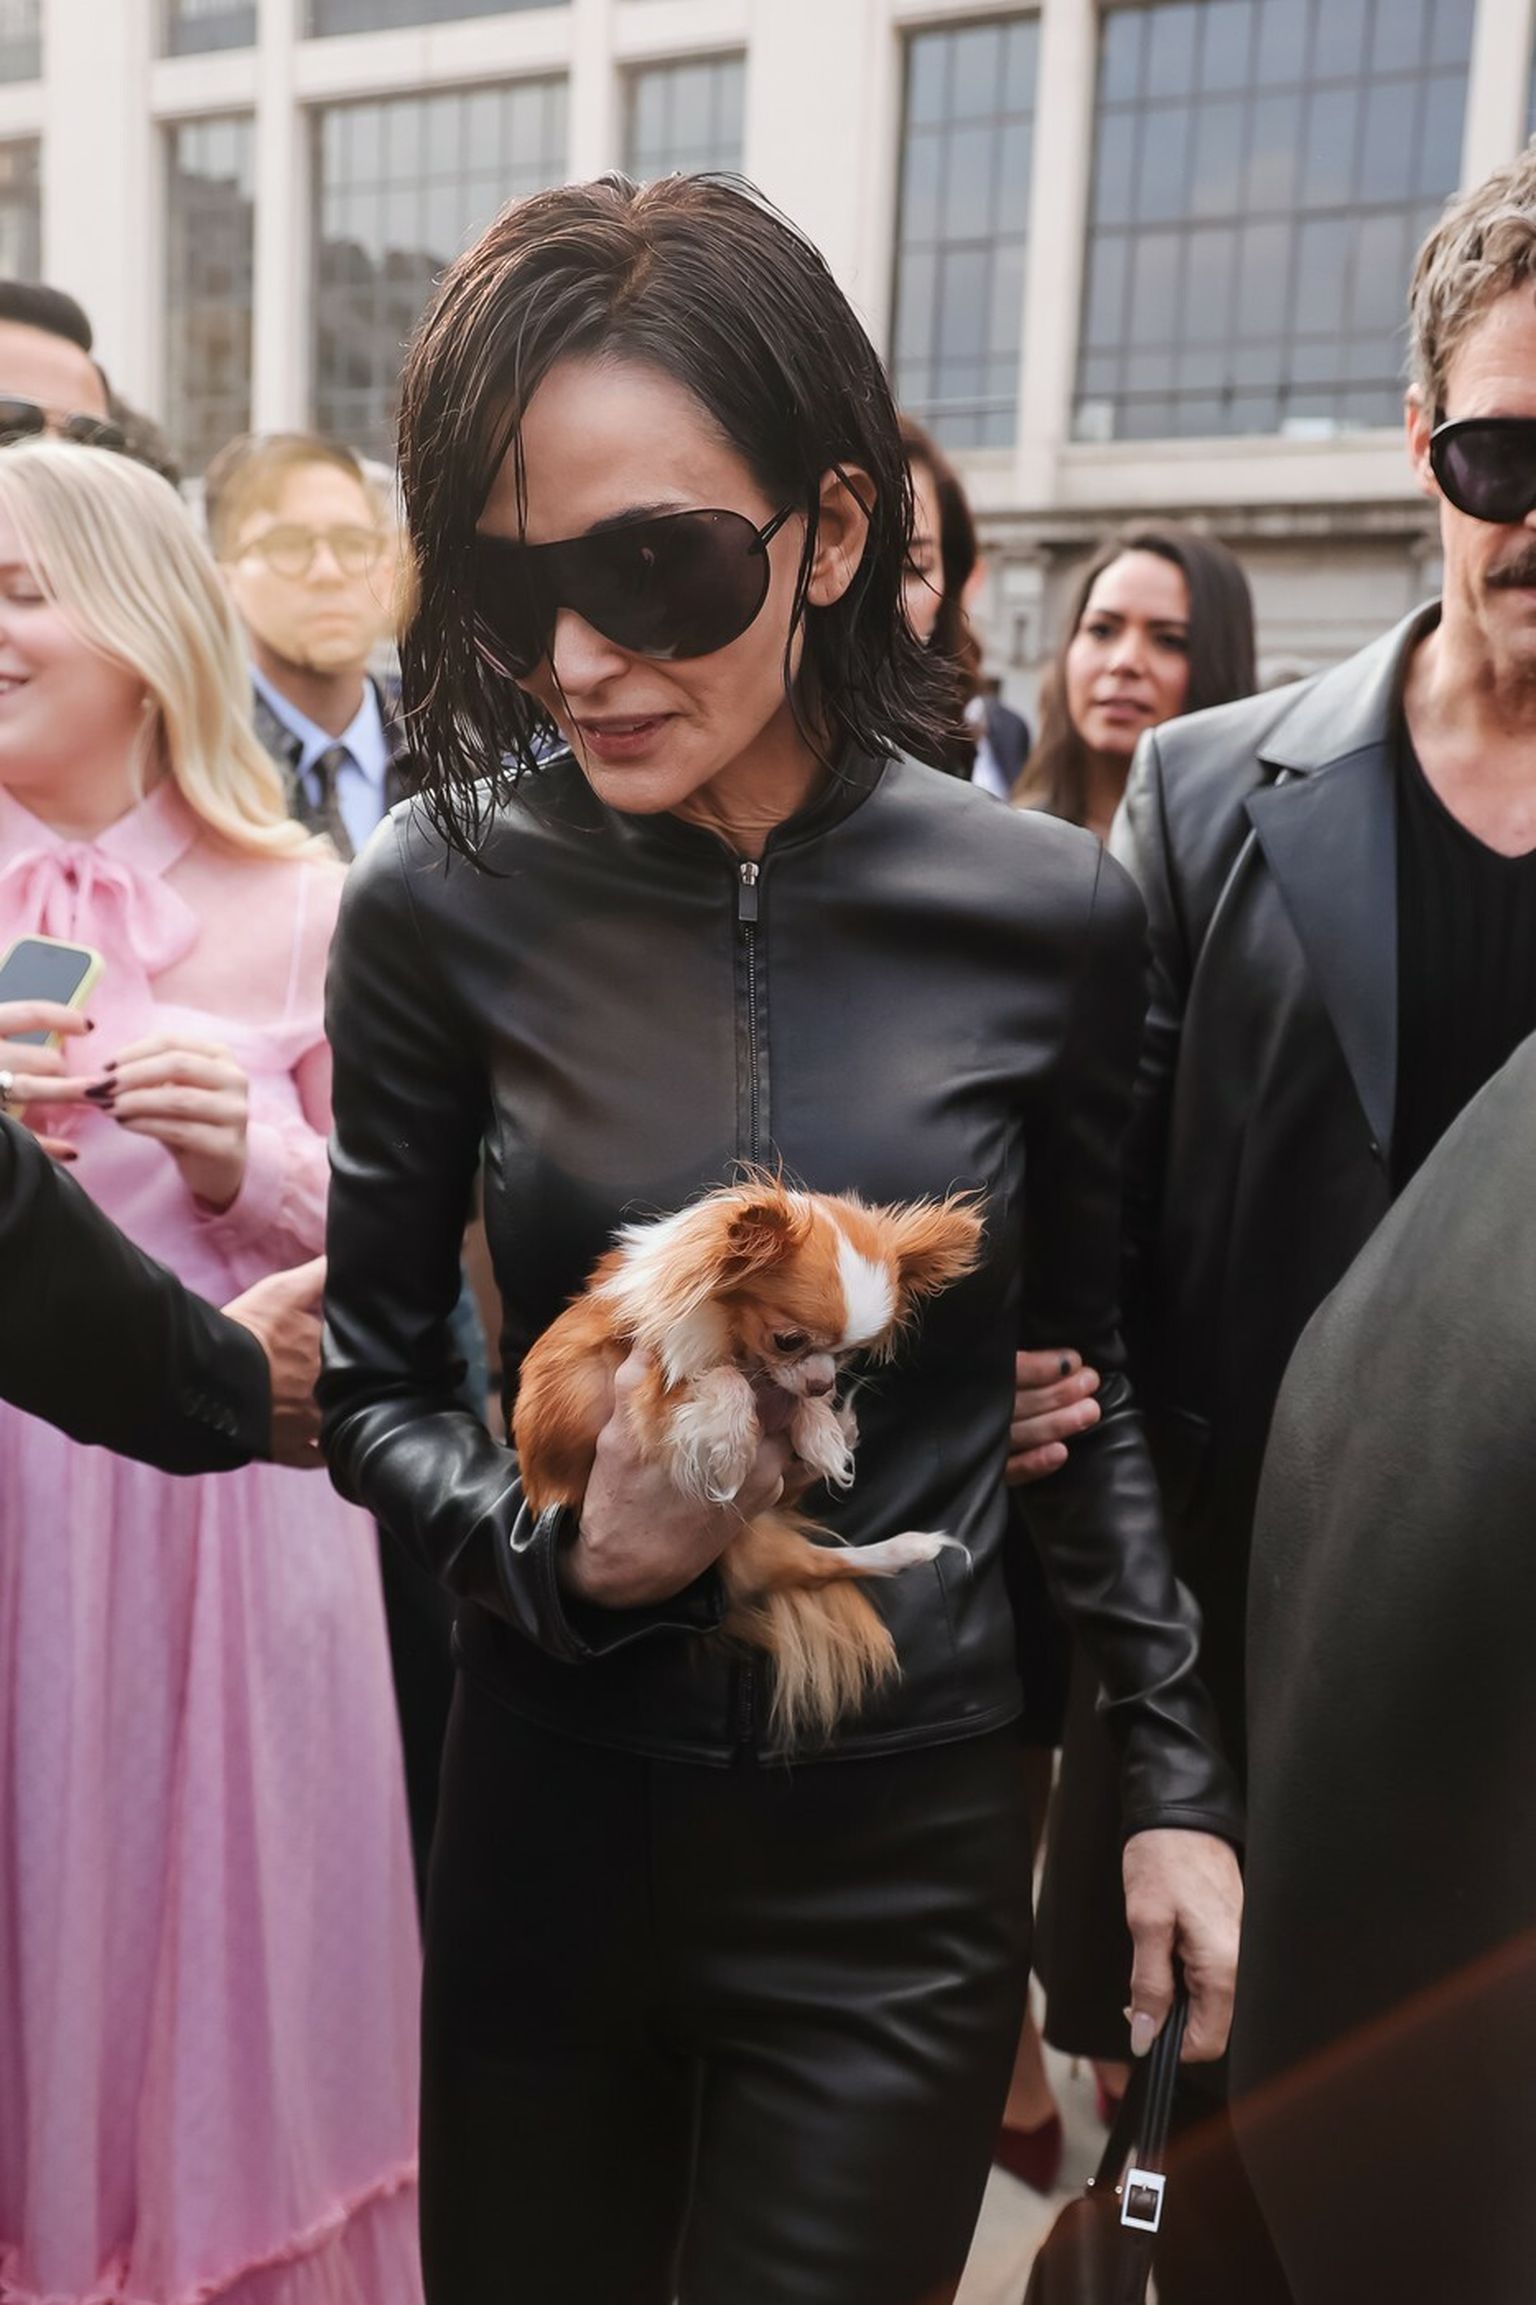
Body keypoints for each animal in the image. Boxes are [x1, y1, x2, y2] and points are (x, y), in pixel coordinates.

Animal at [513, 1178, 985, 1742]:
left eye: (849, 1354)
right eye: (788, 1340)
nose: (824, 1383)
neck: (729, 1331)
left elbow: (777, 1395)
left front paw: (820, 1430)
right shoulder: (645, 1387)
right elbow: (724, 1382)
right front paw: (734, 1445)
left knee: (820, 1564)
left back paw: (905, 1546)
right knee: (816, 1565)